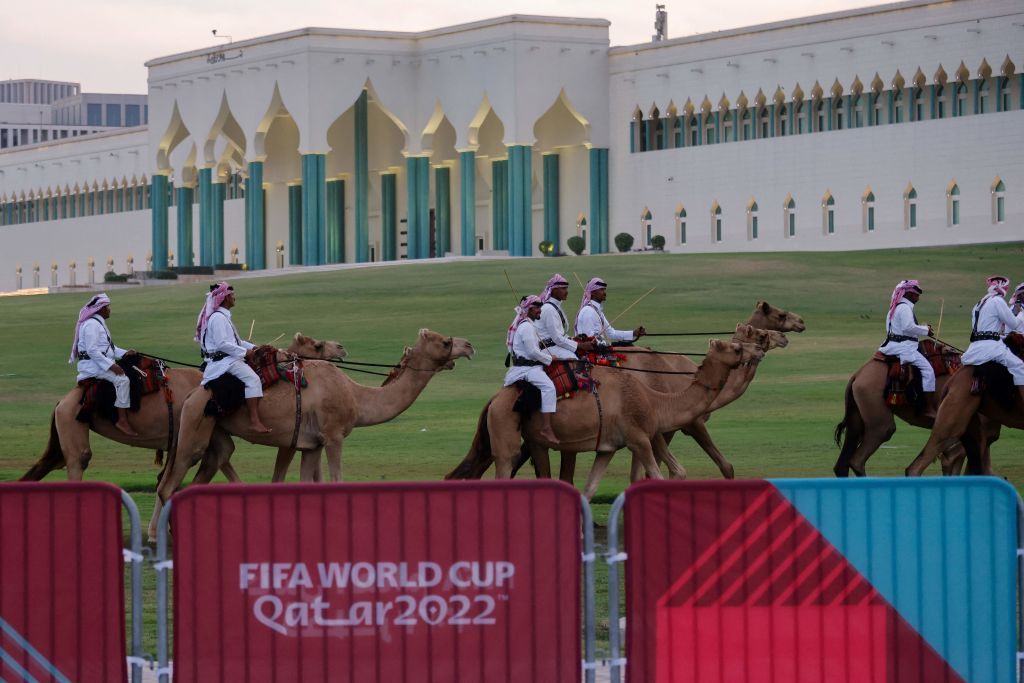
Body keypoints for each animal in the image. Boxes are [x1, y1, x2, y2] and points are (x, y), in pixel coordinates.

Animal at [159, 329, 475, 501]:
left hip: (215, 434)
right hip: (193, 429)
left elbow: (307, 483)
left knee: (206, 467)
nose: (469, 345)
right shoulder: (333, 436)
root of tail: (191, 396)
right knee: (169, 486)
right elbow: (336, 481)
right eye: (445, 342)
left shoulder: (311, 444)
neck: (356, 396)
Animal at [446, 339, 753, 499]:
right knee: (504, 467)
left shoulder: (608, 446)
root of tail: (494, 400)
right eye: (733, 348)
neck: (655, 399)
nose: (749, 352)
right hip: (505, 431)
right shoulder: (638, 437)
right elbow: (656, 476)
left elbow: (591, 486)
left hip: (532, 439)